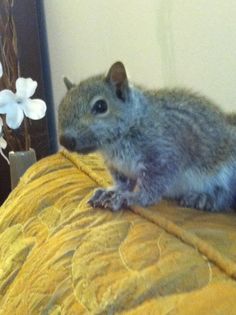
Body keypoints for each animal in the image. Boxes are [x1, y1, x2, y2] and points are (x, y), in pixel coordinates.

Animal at [58, 60, 236, 212]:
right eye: (61, 105)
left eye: (101, 106)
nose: (65, 140)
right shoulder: (118, 167)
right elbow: (123, 183)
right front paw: (111, 191)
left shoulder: (163, 155)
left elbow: (153, 186)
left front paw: (131, 197)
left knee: (226, 196)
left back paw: (204, 198)